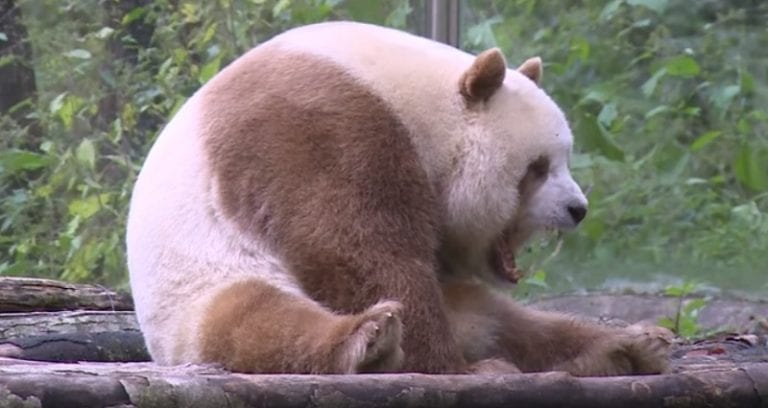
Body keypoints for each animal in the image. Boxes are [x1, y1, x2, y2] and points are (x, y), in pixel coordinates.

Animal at [126, 21, 670, 375]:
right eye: (537, 168)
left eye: (566, 159)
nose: (577, 209)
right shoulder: (318, 122)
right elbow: (352, 248)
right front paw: (450, 367)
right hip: (199, 286)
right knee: (257, 320)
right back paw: (371, 341)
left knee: (511, 323)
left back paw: (627, 346)